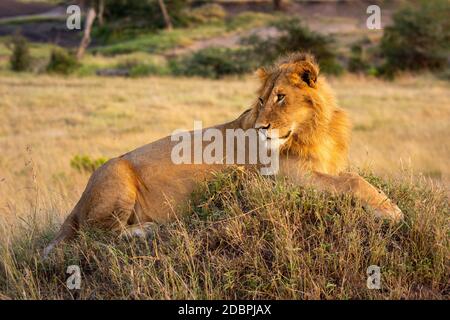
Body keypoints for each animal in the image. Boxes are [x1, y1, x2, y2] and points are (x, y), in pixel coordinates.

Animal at [43, 52, 404, 258]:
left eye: (281, 97)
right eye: (262, 100)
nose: (261, 127)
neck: (315, 130)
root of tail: (79, 200)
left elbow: (351, 176)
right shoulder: (286, 178)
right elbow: (353, 181)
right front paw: (391, 211)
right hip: (116, 176)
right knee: (93, 237)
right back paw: (145, 231)